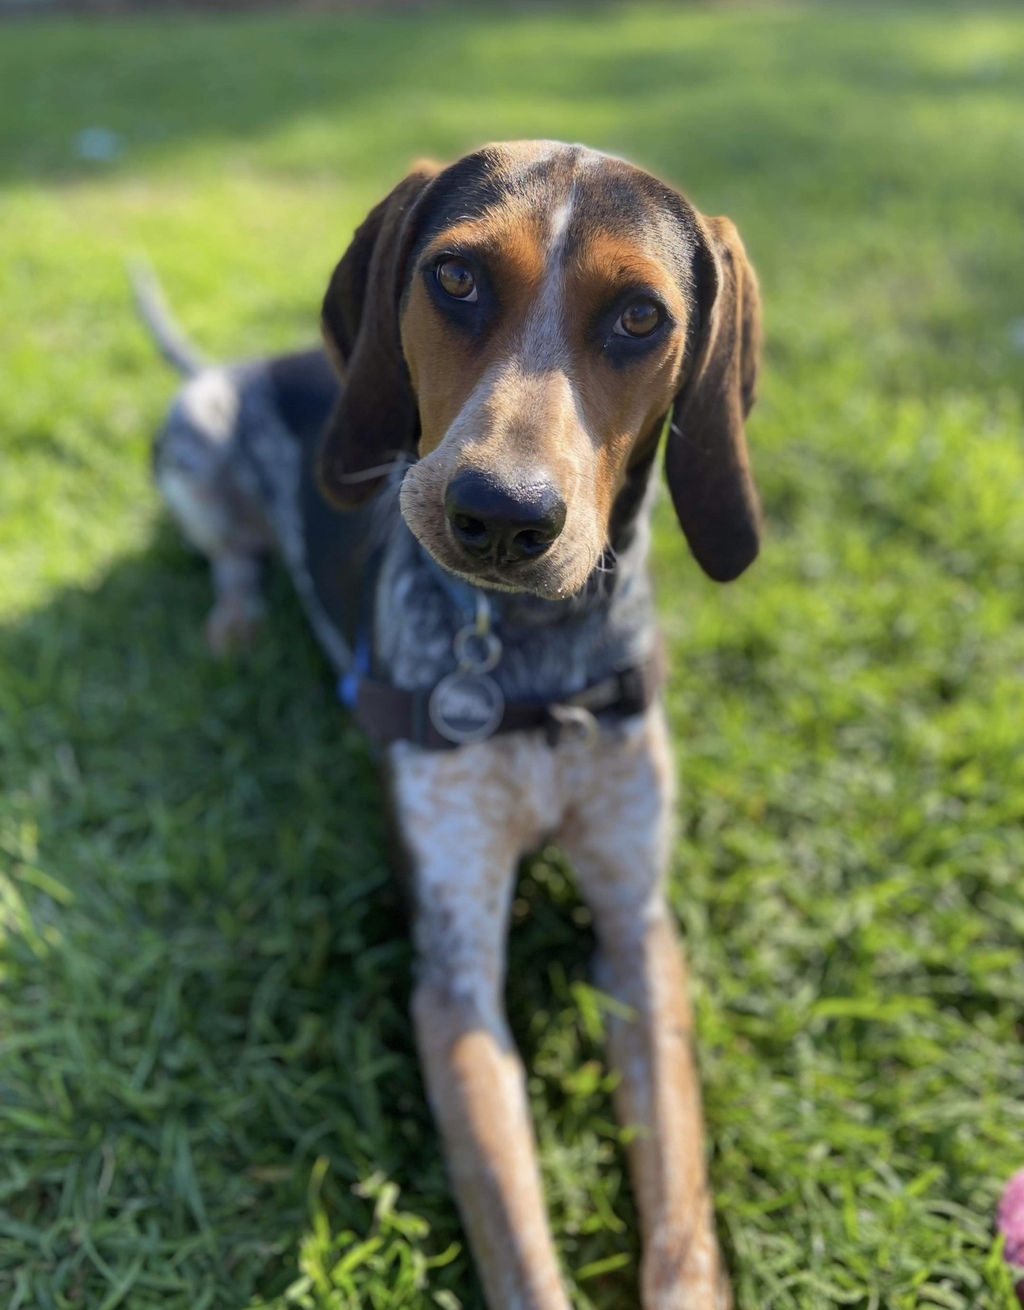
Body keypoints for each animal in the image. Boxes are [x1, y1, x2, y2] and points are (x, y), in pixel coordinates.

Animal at [144, 143, 759, 1310]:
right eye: (457, 277)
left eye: (640, 317)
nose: (501, 514)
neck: (533, 662)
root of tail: (252, 362)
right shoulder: (456, 965)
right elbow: (518, 1237)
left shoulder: (637, 925)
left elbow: (681, 1213)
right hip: (189, 445)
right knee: (234, 552)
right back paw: (235, 619)